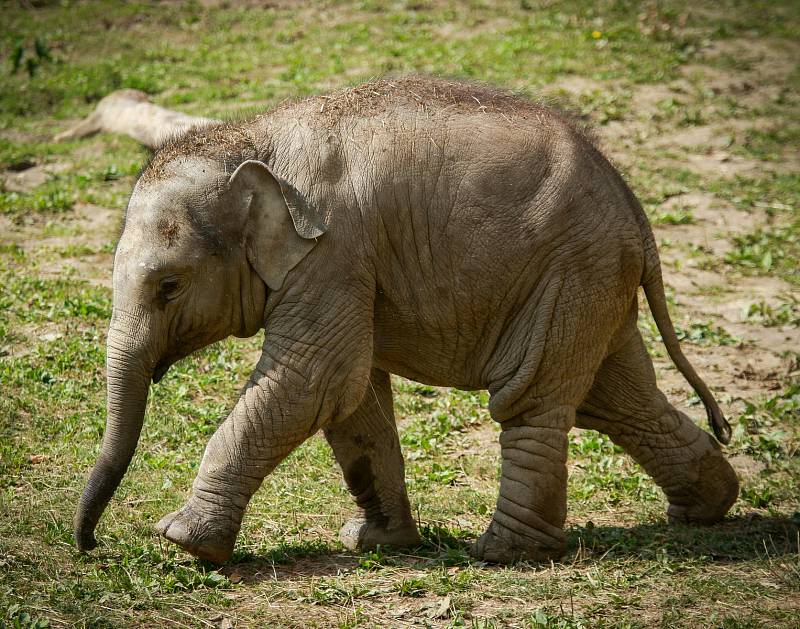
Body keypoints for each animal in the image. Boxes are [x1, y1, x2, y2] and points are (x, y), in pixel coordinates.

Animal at [75, 76, 736, 560]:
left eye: (168, 287)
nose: (93, 546)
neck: (251, 142)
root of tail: (635, 208)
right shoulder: (348, 271)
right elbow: (353, 397)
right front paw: (377, 542)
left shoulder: (333, 253)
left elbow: (315, 379)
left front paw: (183, 542)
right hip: (593, 282)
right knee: (614, 395)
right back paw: (708, 504)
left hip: (569, 274)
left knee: (531, 398)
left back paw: (502, 553)